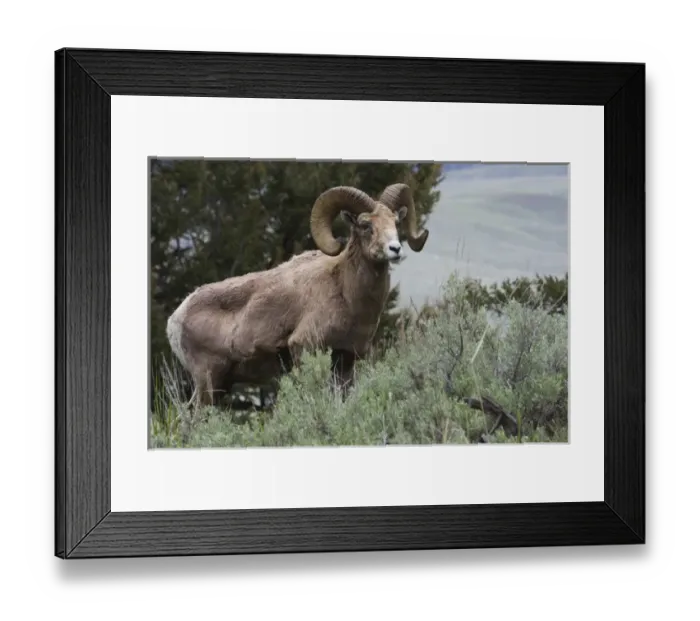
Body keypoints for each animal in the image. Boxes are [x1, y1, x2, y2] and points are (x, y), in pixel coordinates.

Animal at [166, 182, 429, 407]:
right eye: (366, 225)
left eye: (395, 222)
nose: (395, 249)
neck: (346, 293)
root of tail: (175, 319)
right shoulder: (305, 347)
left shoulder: (346, 359)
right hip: (208, 382)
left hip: (220, 385)